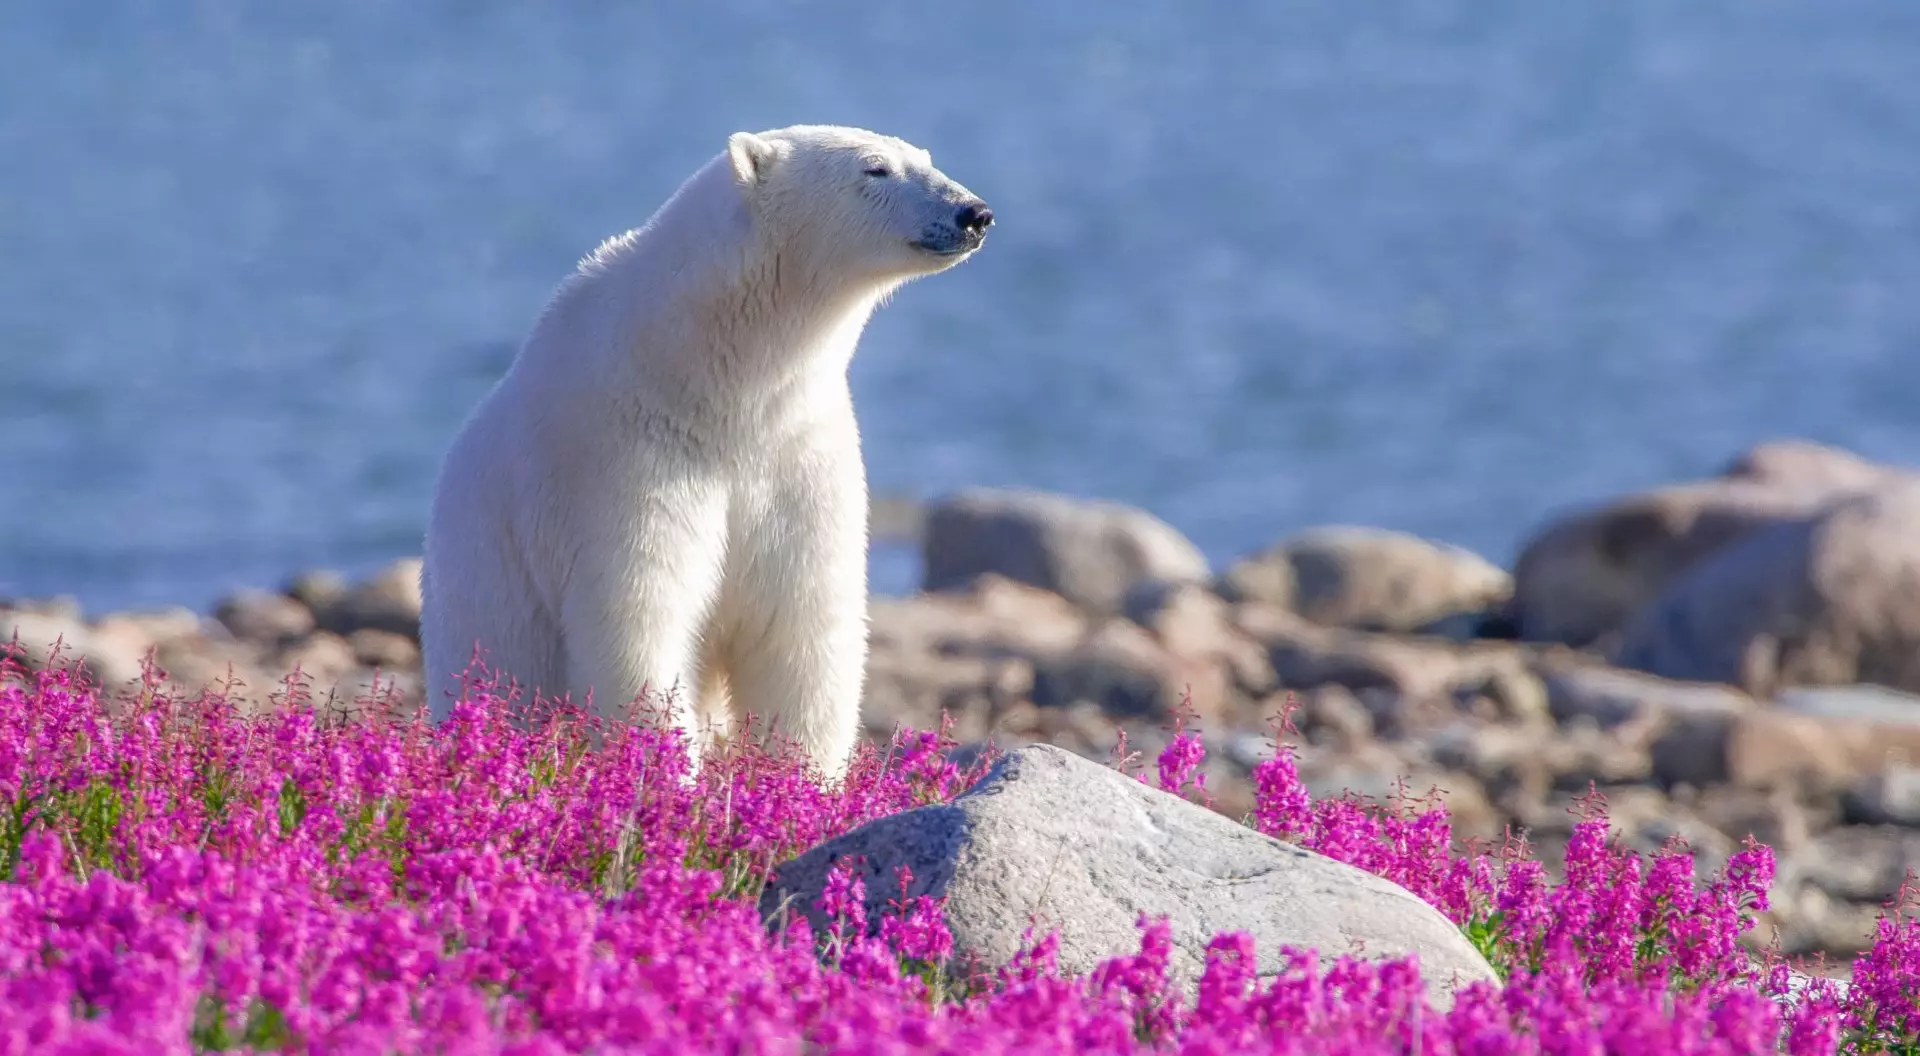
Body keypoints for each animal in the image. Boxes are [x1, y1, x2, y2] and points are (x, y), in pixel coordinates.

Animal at [418, 124, 993, 781]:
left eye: (923, 157)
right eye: (875, 169)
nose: (974, 213)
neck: (710, 380)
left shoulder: (796, 453)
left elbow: (800, 625)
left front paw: (803, 782)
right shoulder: (623, 456)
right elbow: (639, 622)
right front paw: (668, 779)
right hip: (485, 600)